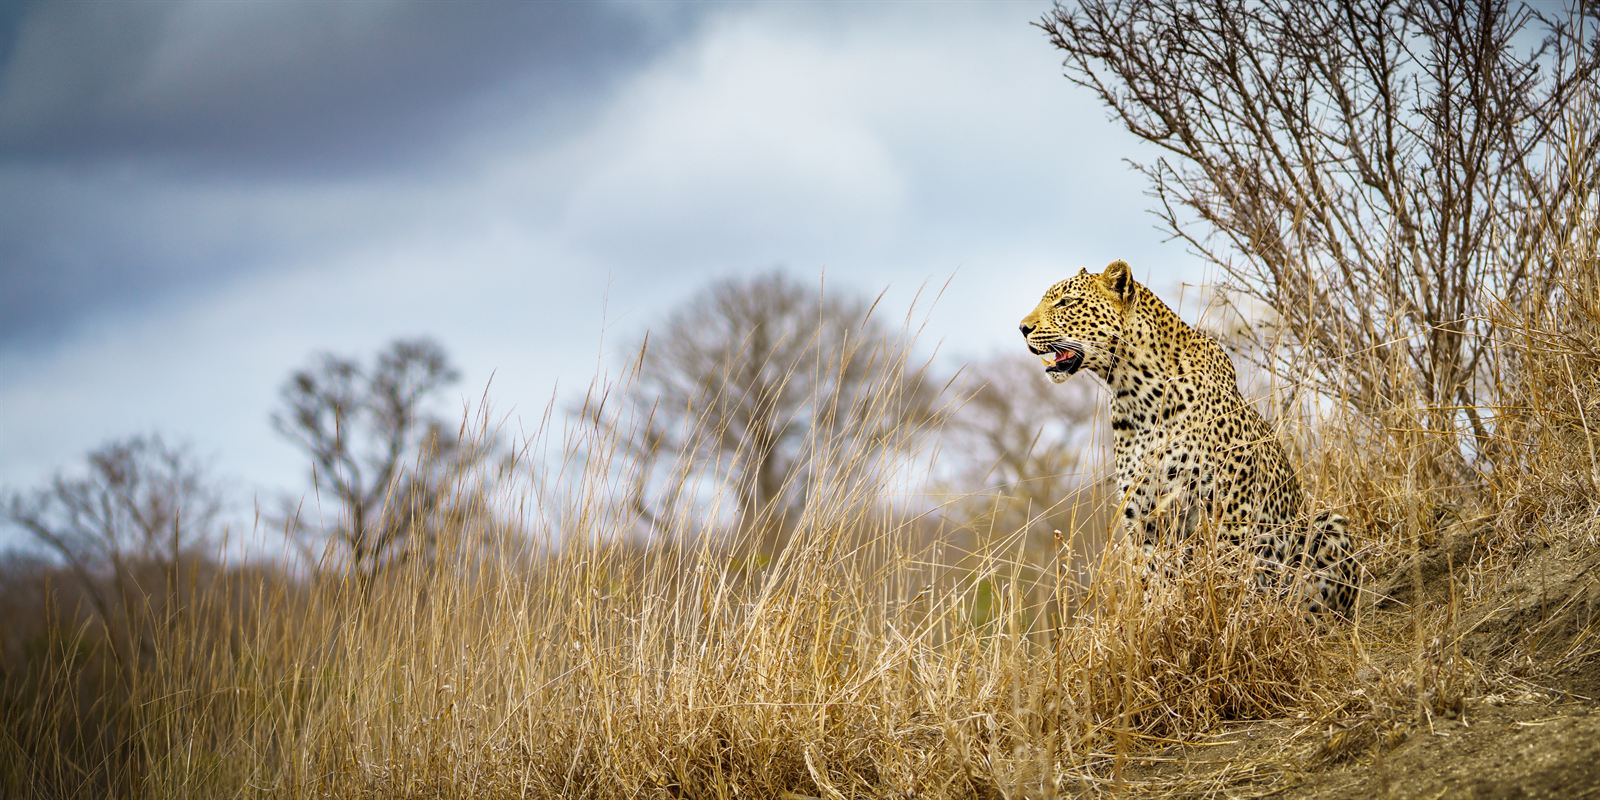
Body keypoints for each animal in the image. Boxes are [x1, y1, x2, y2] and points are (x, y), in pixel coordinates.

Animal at [1019, 259, 1359, 619]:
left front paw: (1228, 617)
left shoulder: (1229, 507)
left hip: (1326, 523)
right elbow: (1156, 584)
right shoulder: (1145, 519)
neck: (1134, 392)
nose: (1022, 328)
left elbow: (1228, 576)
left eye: (1066, 303)